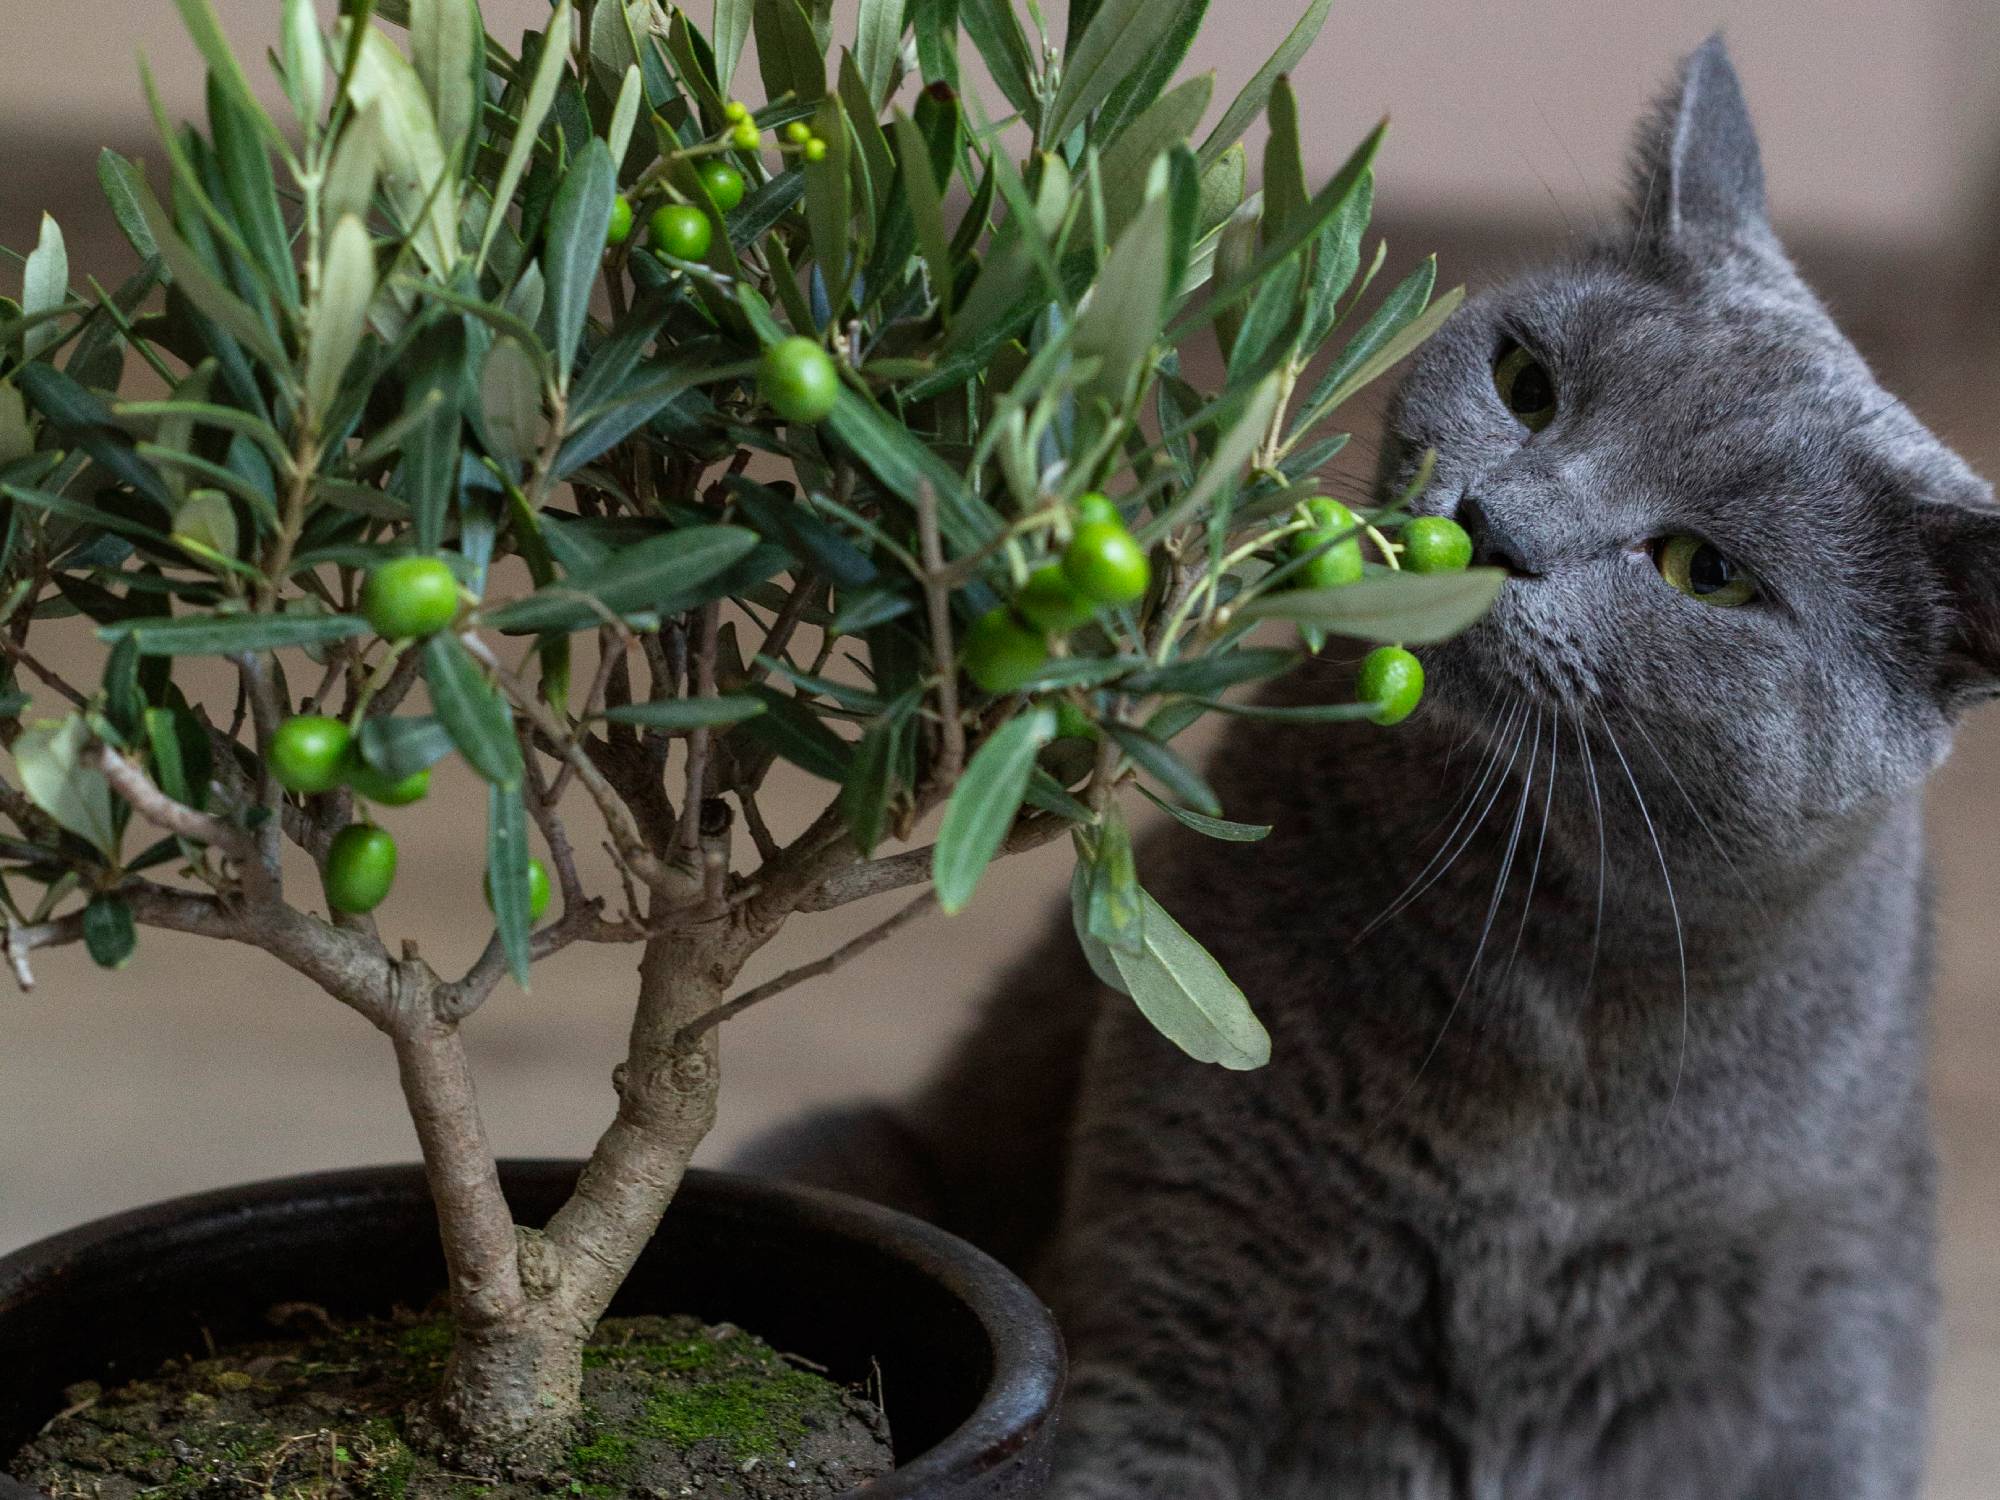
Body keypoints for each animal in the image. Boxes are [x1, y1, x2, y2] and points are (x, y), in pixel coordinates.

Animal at [752, 35, 2000, 1500]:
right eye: (1527, 385)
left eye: (1708, 573)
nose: (1494, 524)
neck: (1551, 968)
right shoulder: (1167, 1299)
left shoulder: (1822, 1362)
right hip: (858, 1143)